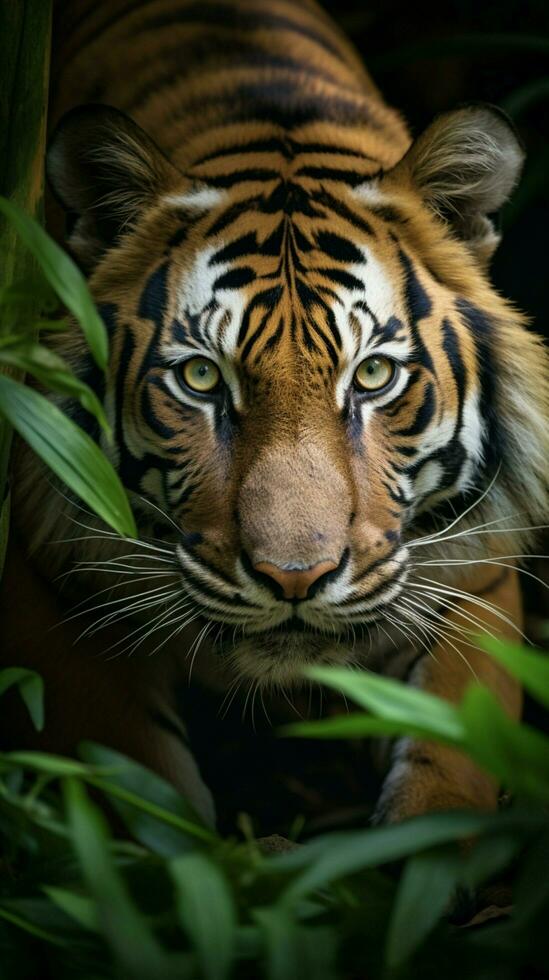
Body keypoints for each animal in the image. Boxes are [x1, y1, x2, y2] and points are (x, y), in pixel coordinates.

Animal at [1, 0, 548, 832]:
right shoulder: (51, 589)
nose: (296, 580)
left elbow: (449, 773)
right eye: (200, 377)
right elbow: (135, 796)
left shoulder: (473, 582)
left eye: (373, 375)